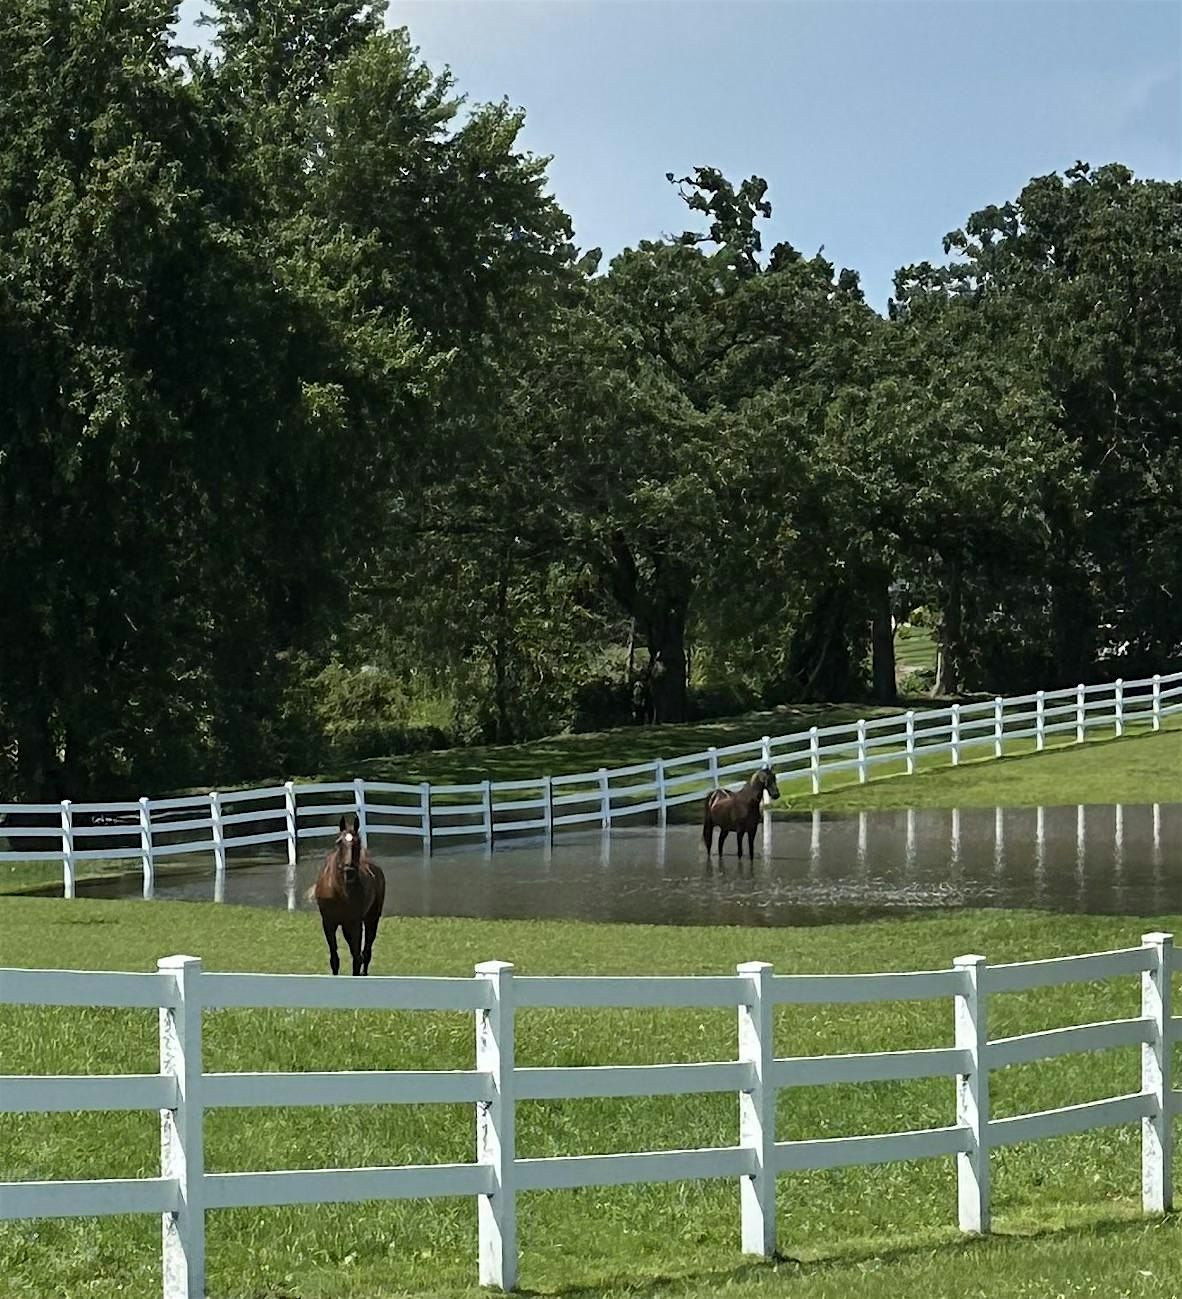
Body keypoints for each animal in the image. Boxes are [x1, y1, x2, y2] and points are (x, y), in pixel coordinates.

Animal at [311, 810, 387, 976]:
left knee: (366, 952)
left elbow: (357, 958)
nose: (349, 871)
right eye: (339, 842)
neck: (339, 891)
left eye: (357, 842)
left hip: (371, 919)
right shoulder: (328, 923)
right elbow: (334, 959)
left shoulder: (355, 923)